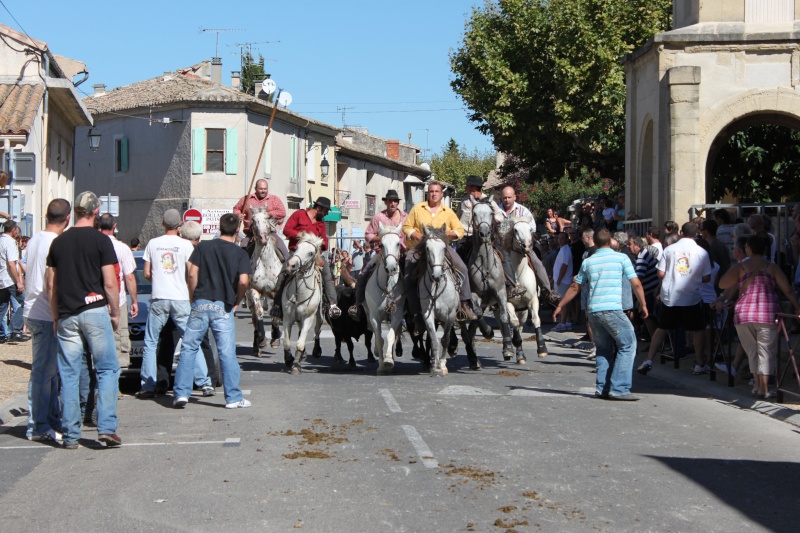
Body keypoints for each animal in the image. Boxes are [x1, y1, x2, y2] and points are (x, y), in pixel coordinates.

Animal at [247, 208, 284, 354]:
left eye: (268, 217)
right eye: (253, 220)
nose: (262, 238)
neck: (265, 262)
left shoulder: (276, 291)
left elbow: (276, 315)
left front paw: (275, 337)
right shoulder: (254, 290)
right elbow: (259, 313)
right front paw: (262, 340)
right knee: (254, 317)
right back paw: (256, 343)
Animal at [282, 232, 324, 374]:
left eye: (311, 253)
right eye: (297, 248)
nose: (291, 265)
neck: (299, 293)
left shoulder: (308, 318)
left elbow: (300, 343)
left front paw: (296, 365)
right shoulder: (287, 318)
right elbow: (287, 342)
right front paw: (289, 359)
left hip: (318, 316)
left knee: (317, 331)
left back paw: (316, 350)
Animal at [366, 222, 410, 376]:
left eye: (398, 243)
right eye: (382, 244)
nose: (391, 267)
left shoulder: (397, 314)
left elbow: (391, 335)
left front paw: (389, 361)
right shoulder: (374, 316)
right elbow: (379, 339)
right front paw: (381, 366)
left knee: (396, 333)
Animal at [418, 223, 456, 374]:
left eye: (444, 248)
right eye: (427, 248)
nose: (437, 275)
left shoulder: (450, 315)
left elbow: (445, 339)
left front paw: (443, 365)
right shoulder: (427, 315)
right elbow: (434, 340)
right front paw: (435, 366)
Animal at [506, 216, 552, 358]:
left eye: (530, 229)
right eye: (515, 230)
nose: (527, 246)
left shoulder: (532, 300)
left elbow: (536, 320)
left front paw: (542, 348)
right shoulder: (507, 303)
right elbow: (513, 322)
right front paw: (516, 342)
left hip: (523, 310)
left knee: (521, 325)